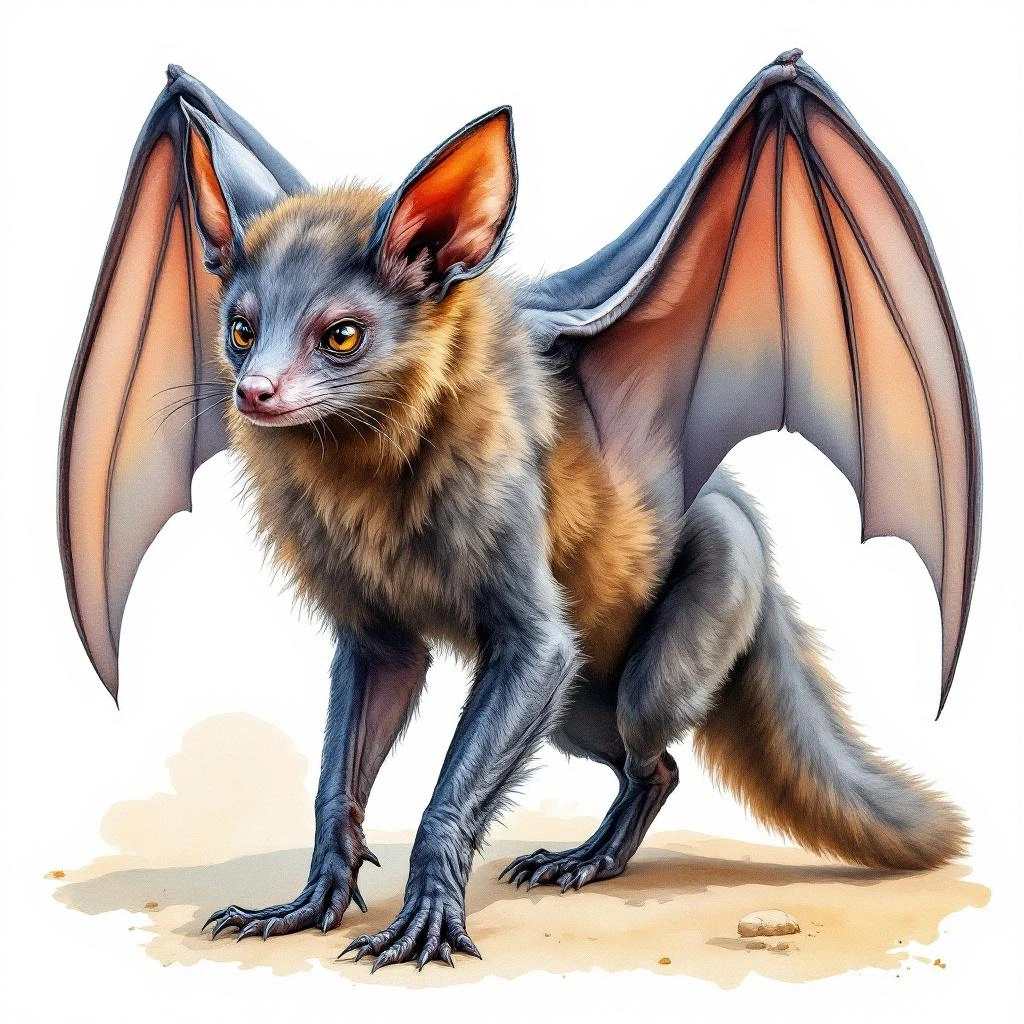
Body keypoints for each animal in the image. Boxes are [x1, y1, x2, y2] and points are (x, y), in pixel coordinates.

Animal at [59, 55, 979, 972]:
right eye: (241, 329)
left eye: (342, 336)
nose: (253, 392)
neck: (368, 477)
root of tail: (735, 507)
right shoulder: (374, 634)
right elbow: (339, 777)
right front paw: (307, 903)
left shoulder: (528, 626)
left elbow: (469, 762)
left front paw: (426, 924)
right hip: (579, 712)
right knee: (643, 759)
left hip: (675, 636)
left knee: (654, 750)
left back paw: (582, 862)